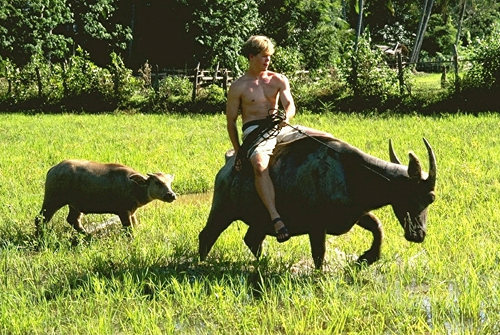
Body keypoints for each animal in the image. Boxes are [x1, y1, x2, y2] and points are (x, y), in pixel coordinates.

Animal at [35, 160, 176, 236]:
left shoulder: (132, 211)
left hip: (74, 205)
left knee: (72, 219)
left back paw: (86, 234)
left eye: (169, 183)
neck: (134, 187)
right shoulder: (123, 211)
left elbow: (135, 224)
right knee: (40, 218)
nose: (171, 195)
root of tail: (52, 170)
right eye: (157, 182)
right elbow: (129, 229)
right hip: (53, 199)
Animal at [197, 136, 436, 270]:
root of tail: (228, 163)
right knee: (207, 235)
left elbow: (377, 227)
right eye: (430, 197)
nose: (419, 234)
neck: (350, 172)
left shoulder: (354, 215)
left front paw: (368, 257)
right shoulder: (317, 227)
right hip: (222, 210)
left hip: (258, 221)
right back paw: (201, 264)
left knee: (252, 240)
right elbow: (319, 254)